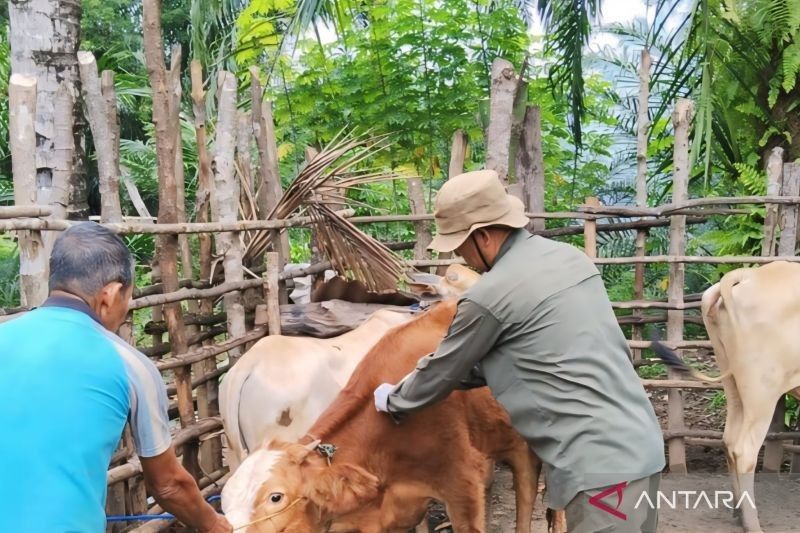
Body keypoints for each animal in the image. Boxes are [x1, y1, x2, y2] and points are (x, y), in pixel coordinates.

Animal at [652, 260, 800, 532]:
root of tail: (747, 274)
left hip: (733, 383)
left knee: (729, 439)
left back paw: (739, 512)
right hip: (762, 389)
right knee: (744, 451)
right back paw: (752, 524)